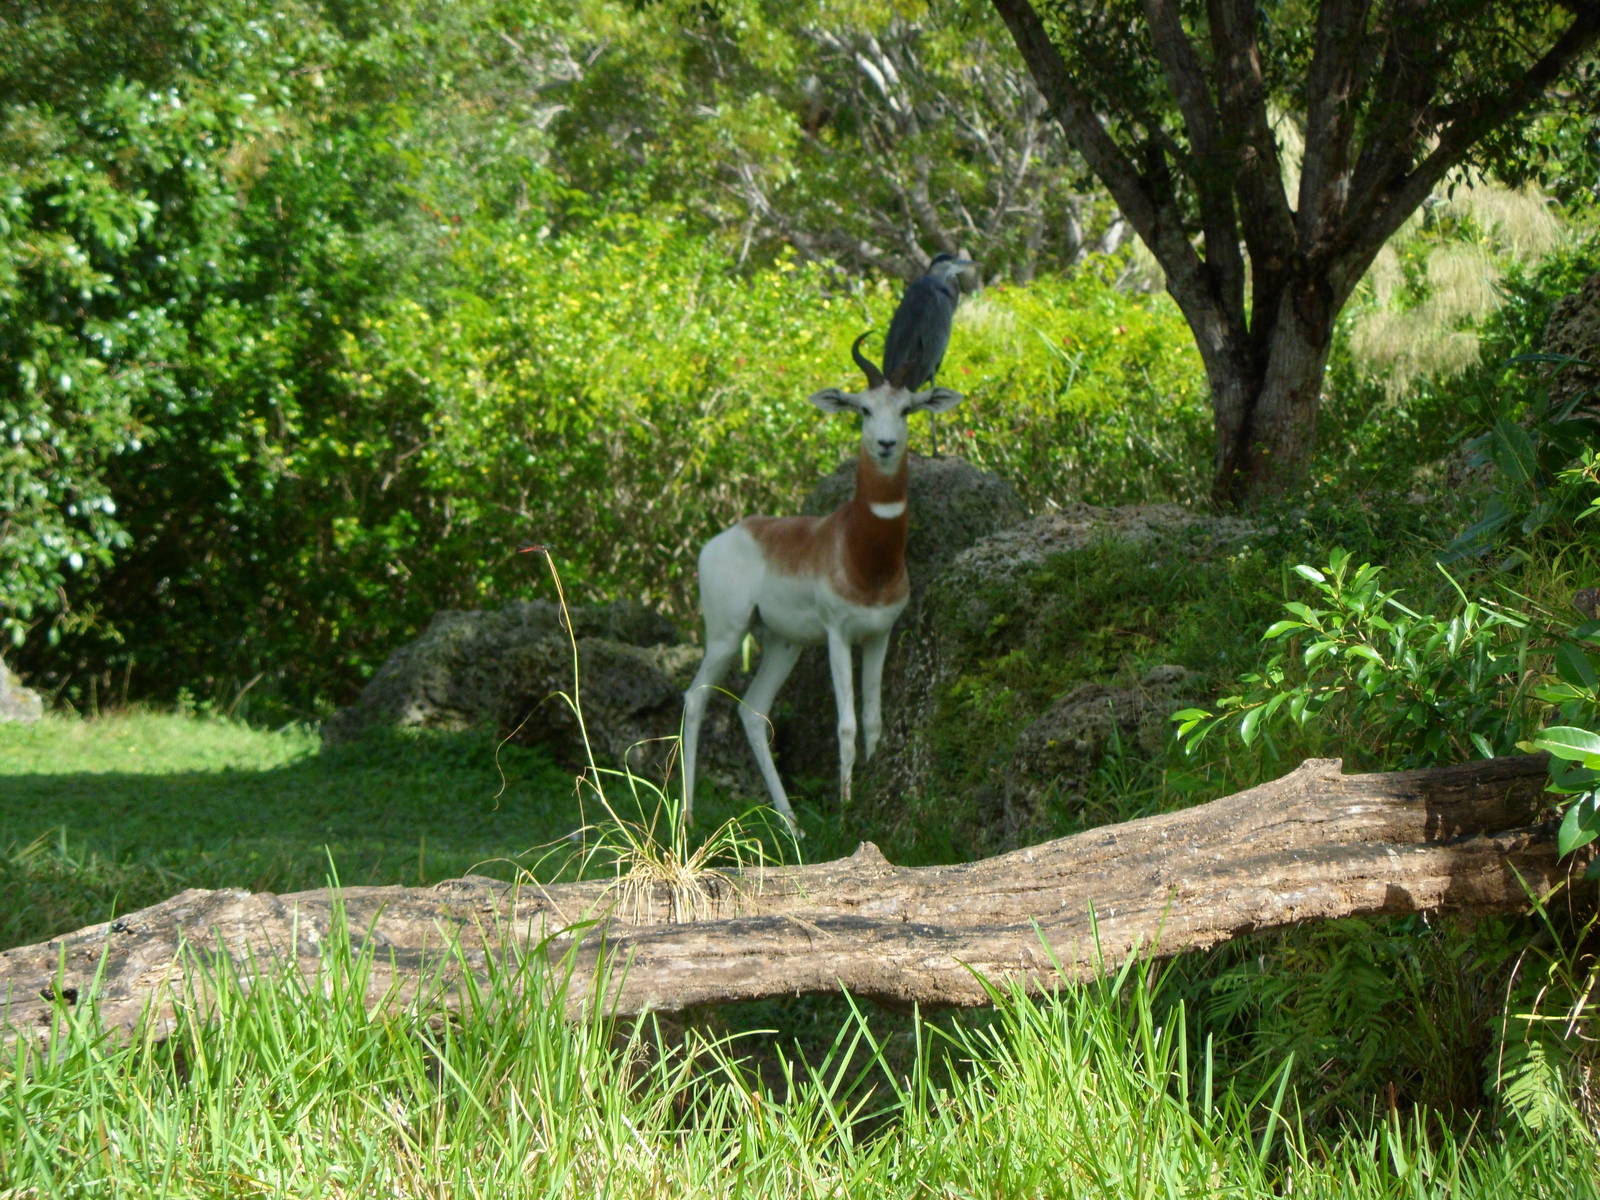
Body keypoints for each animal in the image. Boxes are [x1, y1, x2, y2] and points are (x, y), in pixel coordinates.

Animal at [680, 333, 964, 832]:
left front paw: (868, 795)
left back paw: (792, 823)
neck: (862, 555)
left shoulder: (879, 635)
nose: (886, 443)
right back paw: (690, 818)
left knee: (752, 711)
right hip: (727, 636)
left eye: (907, 408)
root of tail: (722, 537)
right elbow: (846, 723)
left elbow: (872, 721)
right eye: (863, 408)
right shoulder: (837, 635)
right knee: (695, 699)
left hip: (783, 643)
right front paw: (847, 808)